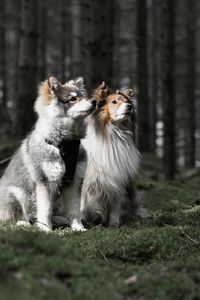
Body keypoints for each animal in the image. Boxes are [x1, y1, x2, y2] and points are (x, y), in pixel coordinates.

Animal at [0, 75, 95, 232]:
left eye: (83, 96)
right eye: (73, 99)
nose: (94, 101)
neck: (65, 144)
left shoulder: (74, 182)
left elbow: (75, 210)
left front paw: (78, 227)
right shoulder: (45, 182)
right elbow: (45, 210)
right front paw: (45, 229)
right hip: (18, 193)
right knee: (14, 215)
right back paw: (23, 222)